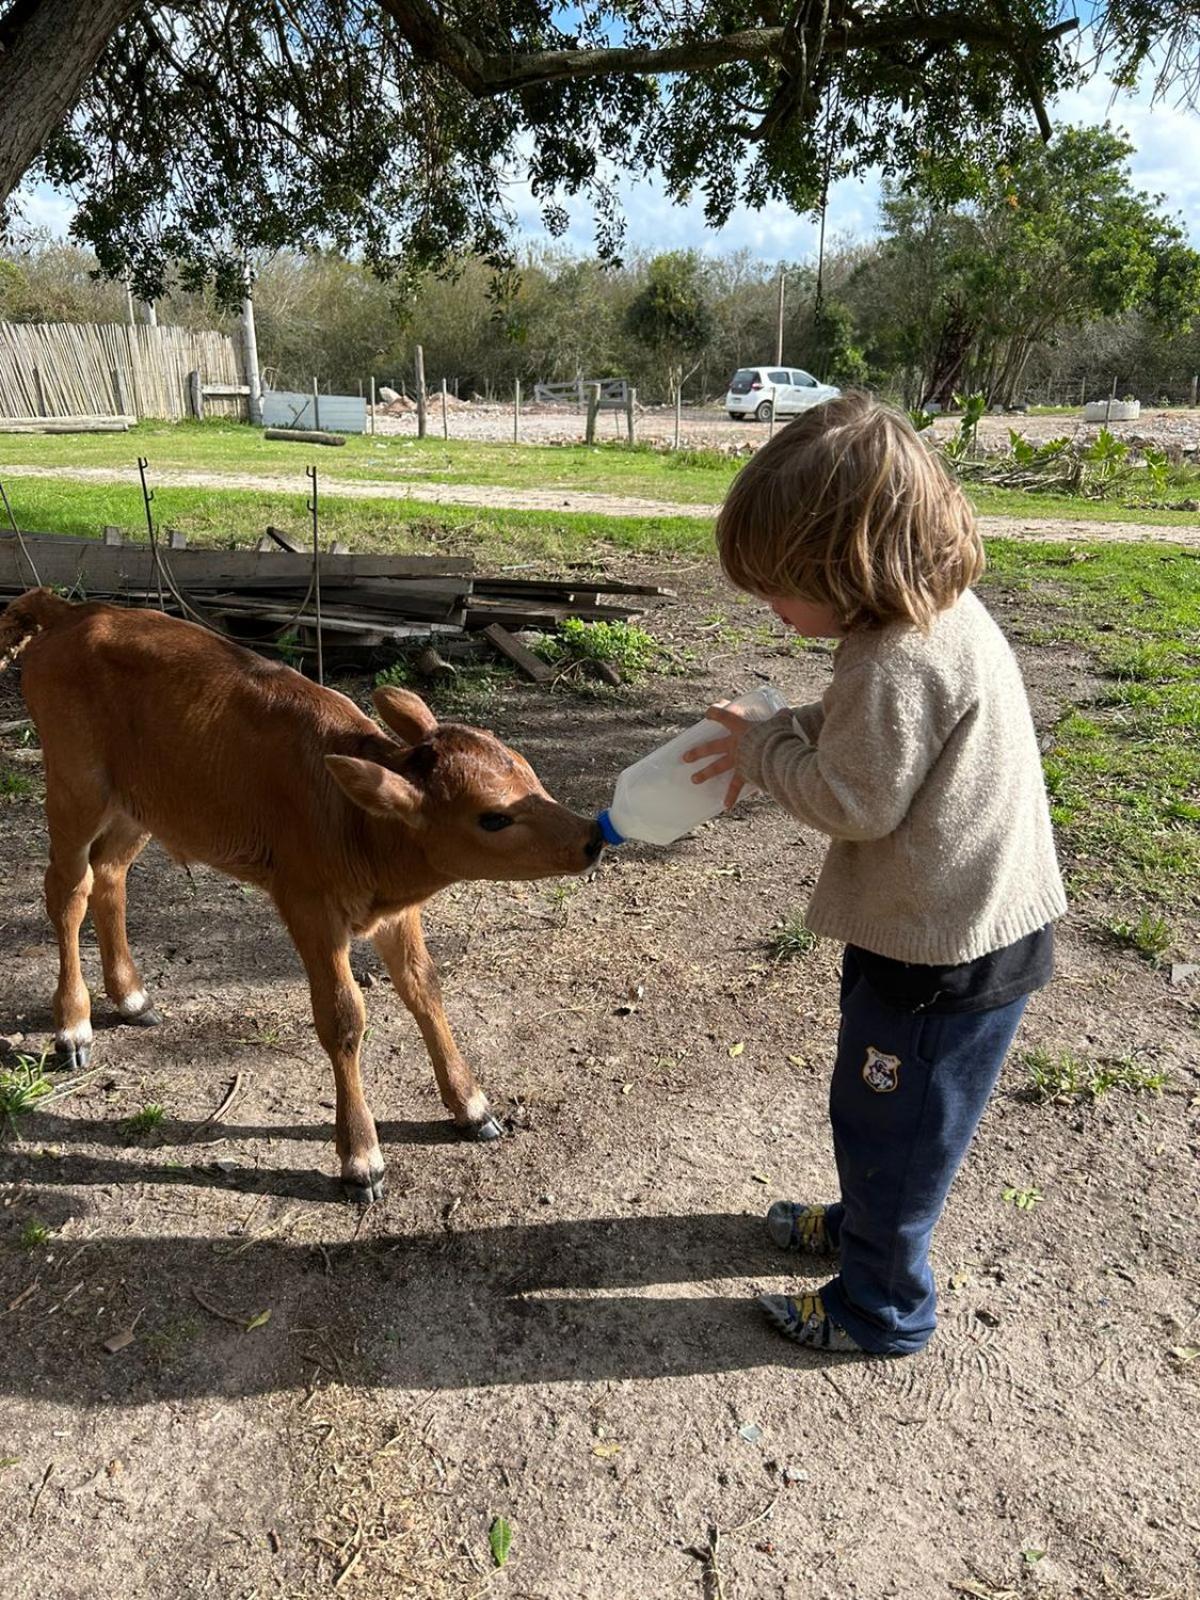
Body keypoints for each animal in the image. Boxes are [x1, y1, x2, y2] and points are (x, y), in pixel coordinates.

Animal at [0, 595, 601, 1196]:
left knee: (110, 876)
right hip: (74, 787)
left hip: (142, 805)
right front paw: (361, 1157)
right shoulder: (309, 905)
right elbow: (343, 1018)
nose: (592, 837)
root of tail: (71, 611)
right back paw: (72, 1026)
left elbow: (424, 988)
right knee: (68, 889)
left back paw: (130, 997)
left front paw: (471, 1106)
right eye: (494, 817)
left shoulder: (395, 912)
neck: (357, 824)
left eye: (528, 770)